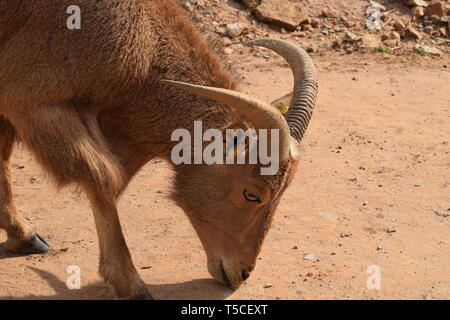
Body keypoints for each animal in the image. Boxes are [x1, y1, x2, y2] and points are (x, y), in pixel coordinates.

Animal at [0, 0, 318, 300]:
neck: (142, 39)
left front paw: (22, 235)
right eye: (252, 194)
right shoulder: (36, 103)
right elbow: (102, 180)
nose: (242, 274)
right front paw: (132, 285)